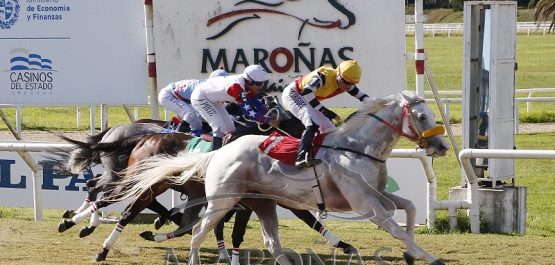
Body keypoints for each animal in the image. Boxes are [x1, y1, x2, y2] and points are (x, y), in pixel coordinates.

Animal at [119, 91, 450, 264]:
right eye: (422, 117)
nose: (442, 146)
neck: (357, 148)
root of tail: (218, 152)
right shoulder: (365, 204)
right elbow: (396, 228)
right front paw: (428, 256)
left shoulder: (378, 195)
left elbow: (409, 207)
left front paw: (411, 254)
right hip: (223, 201)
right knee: (199, 230)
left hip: (262, 203)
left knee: (271, 243)